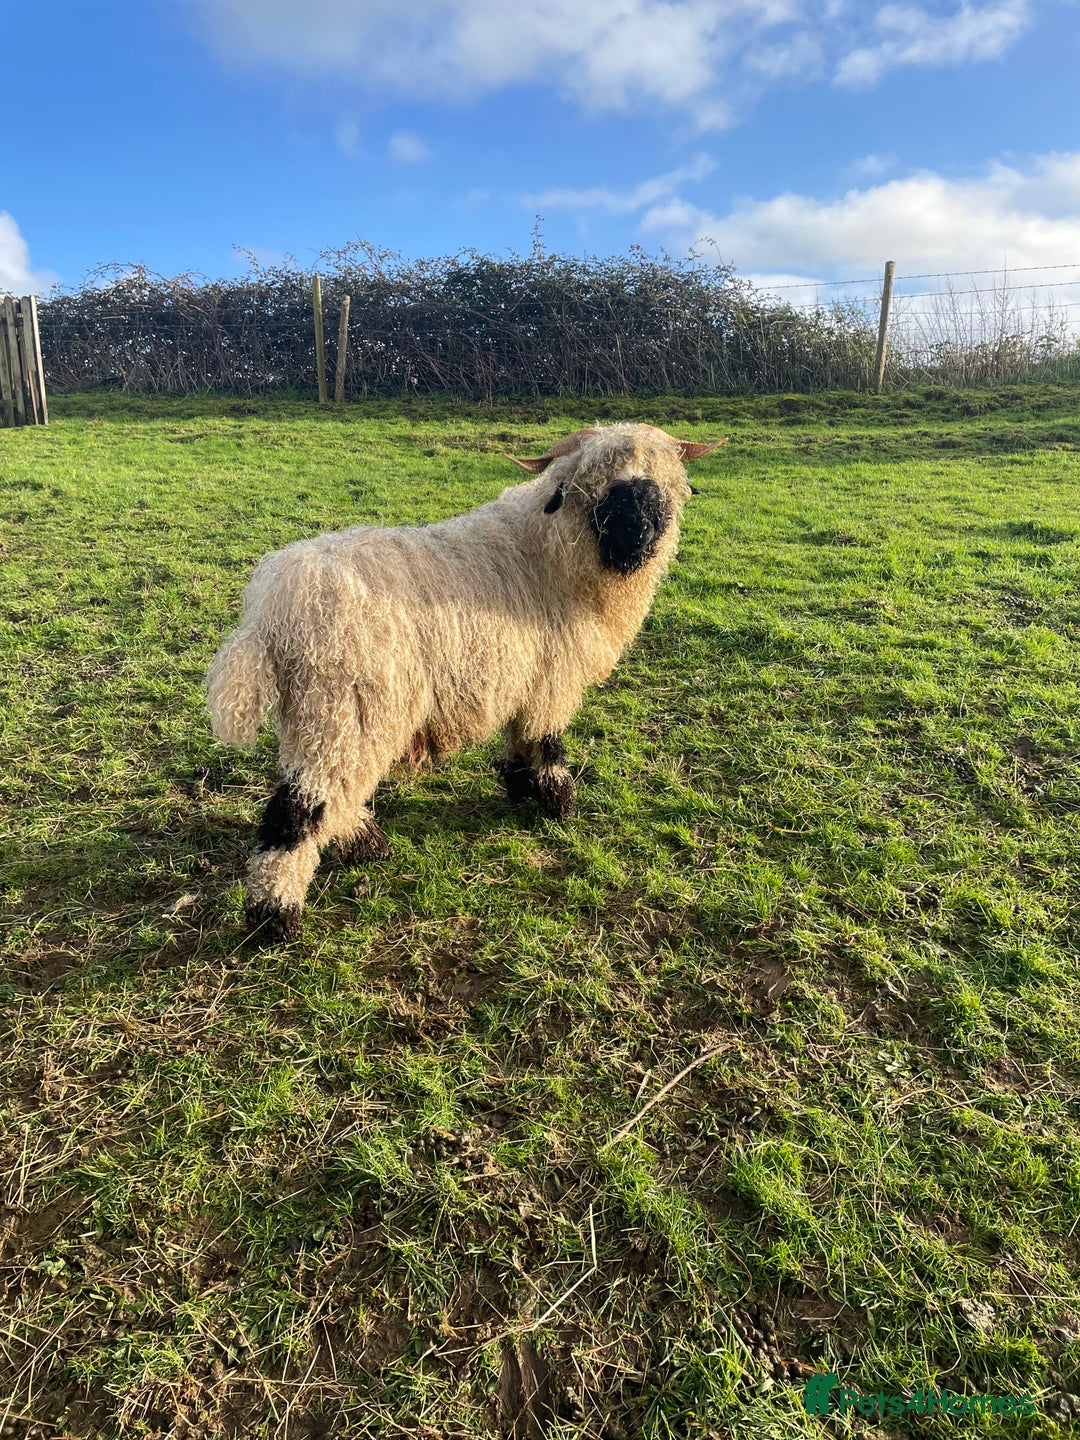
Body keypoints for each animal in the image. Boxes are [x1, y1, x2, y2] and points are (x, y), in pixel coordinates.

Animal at [206, 423, 725, 940]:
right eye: (599, 485)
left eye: (662, 483)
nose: (640, 533)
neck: (551, 554)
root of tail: (272, 612)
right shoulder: (552, 684)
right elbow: (546, 744)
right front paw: (556, 802)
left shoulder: (528, 680)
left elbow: (520, 740)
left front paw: (520, 789)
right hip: (343, 711)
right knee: (298, 811)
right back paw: (275, 914)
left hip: (320, 718)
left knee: (331, 794)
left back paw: (364, 843)